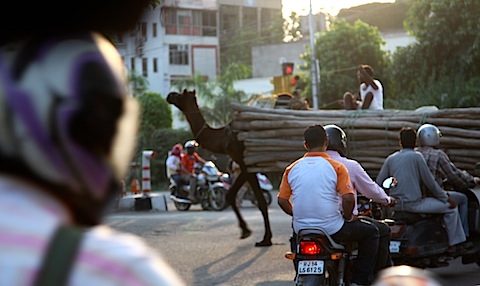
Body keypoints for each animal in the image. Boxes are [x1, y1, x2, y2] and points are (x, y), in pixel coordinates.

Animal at [168, 89, 274, 246]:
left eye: (181, 94)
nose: (170, 95)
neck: (223, 139)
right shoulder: (247, 165)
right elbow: (232, 196)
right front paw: (249, 232)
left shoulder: (245, 163)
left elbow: (259, 201)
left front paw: (263, 238)